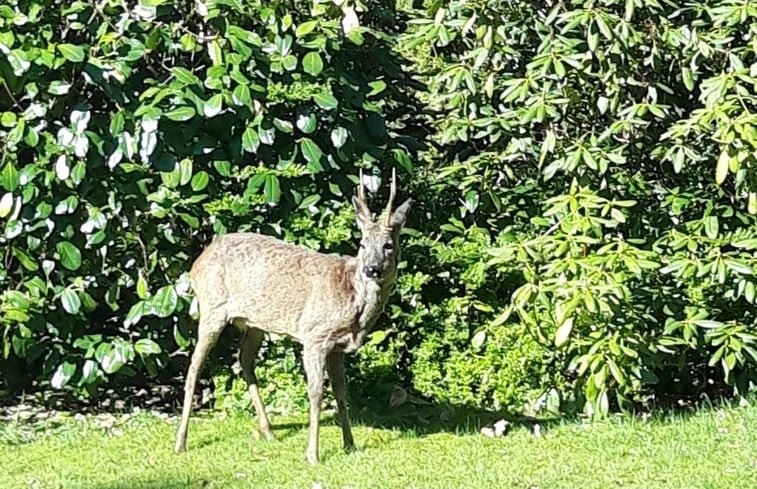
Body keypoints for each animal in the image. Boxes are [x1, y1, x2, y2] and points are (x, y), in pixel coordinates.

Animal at [173, 170, 410, 464]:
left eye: (388, 244)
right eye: (362, 243)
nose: (372, 268)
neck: (352, 301)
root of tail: (196, 264)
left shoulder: (337, 346)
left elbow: (342, 393)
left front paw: (350, 444)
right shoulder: (314, 336)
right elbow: (316, 394)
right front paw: (313, 455)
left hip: (255, 321)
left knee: (244, 360)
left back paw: (268, 432)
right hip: (212, 307)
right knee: (194, 366)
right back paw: (181, 442)